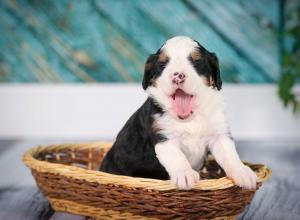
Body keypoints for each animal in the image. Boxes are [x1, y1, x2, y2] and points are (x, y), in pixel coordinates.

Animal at [99, 35, 256, 189]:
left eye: (197, 61)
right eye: (162, 64)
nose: (178, 76)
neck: (190, 119)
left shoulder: (219, 134)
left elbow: (230, 155)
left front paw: (242, 172)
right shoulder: (164, 138)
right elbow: (177, 157)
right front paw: (185, 174)